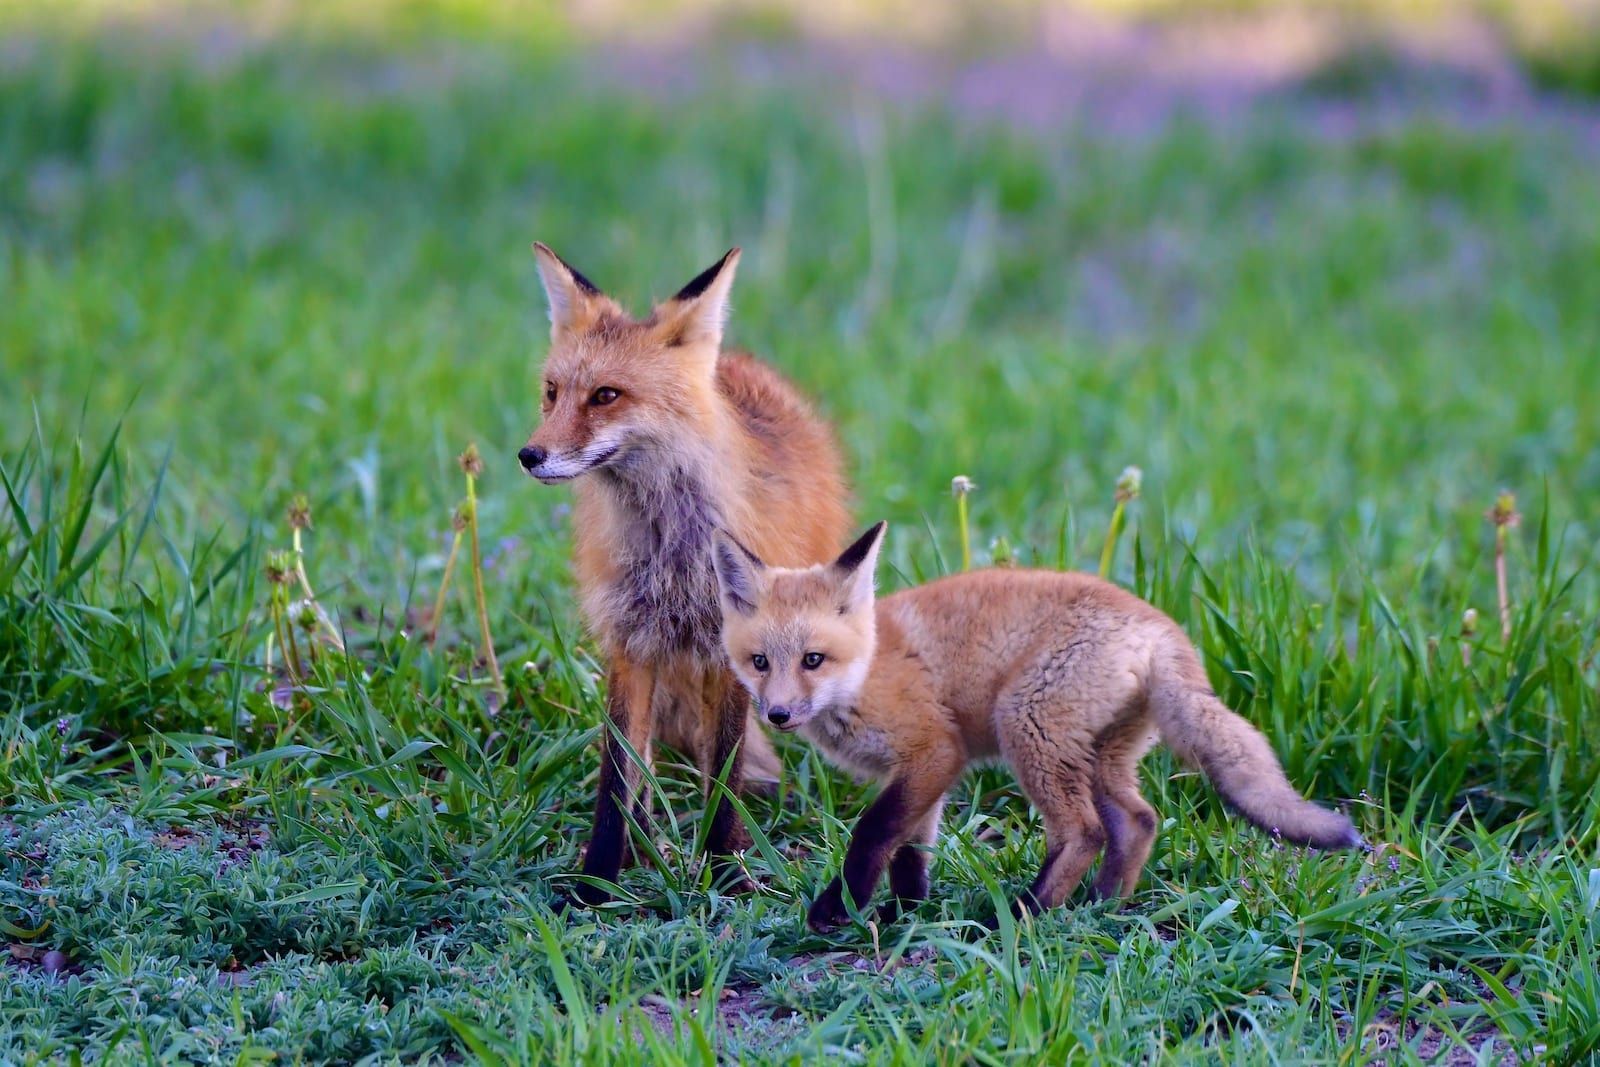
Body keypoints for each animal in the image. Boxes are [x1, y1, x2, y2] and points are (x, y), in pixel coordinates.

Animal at [519, 243, 851, 905]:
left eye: (606, 395)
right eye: (552, 392)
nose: (529, 455)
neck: (673, 555)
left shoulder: (735, 651)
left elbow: (722, 770)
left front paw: (725, 870)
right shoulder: (630, 641)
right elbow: (617, 776)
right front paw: (598, 882)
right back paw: (649, 844)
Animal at [711, 521, 1363, 932]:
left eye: (813, 660)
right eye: (760, 662)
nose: (777, 715)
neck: (867, 669)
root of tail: (1159, 625)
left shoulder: (933, 750)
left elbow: (874, 833)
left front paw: (841, 908)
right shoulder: (922, 772)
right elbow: (911, 851)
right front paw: (904, 915)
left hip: (1027, 728)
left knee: (1083, 832)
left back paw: (1023, 914)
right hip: (1098, 755)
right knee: (1137, 821)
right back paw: (1101, 906)